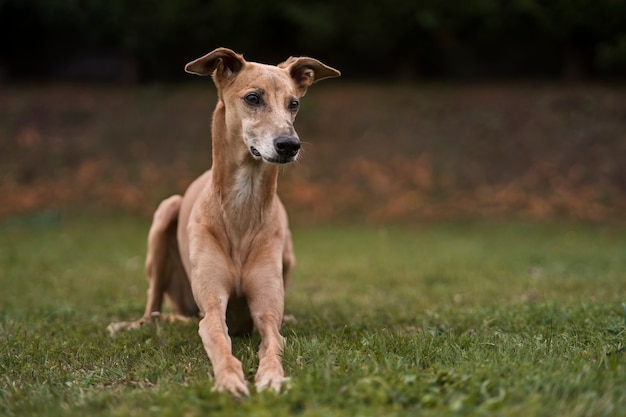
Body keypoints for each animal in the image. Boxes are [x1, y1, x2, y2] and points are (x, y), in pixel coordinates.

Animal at [109, 47, 338, 394]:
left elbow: (274, 341)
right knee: (155, 311)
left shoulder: (266, 311)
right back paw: (134, 324)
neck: (242, 209)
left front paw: (271, 376)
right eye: (253, 98)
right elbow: (217, 337)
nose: (289, 145)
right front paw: (229, 379)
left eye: (294, 103)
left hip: (287, 251)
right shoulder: (213, 306)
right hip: (165, 215)